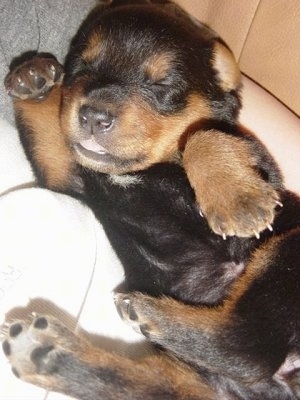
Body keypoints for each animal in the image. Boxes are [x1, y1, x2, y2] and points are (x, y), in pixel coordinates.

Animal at [2, 0, 300, 400]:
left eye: (162, 84)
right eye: (82, 66)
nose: (93, 116)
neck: (145, 169)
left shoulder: (258, 159)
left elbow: (204, 137)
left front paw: (238, 200)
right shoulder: (66, 176)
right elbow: (48, 135)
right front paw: (32, 74)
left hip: (286, 251)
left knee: (249, 347)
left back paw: (144, 312)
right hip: (200, 381)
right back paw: (47, 351)